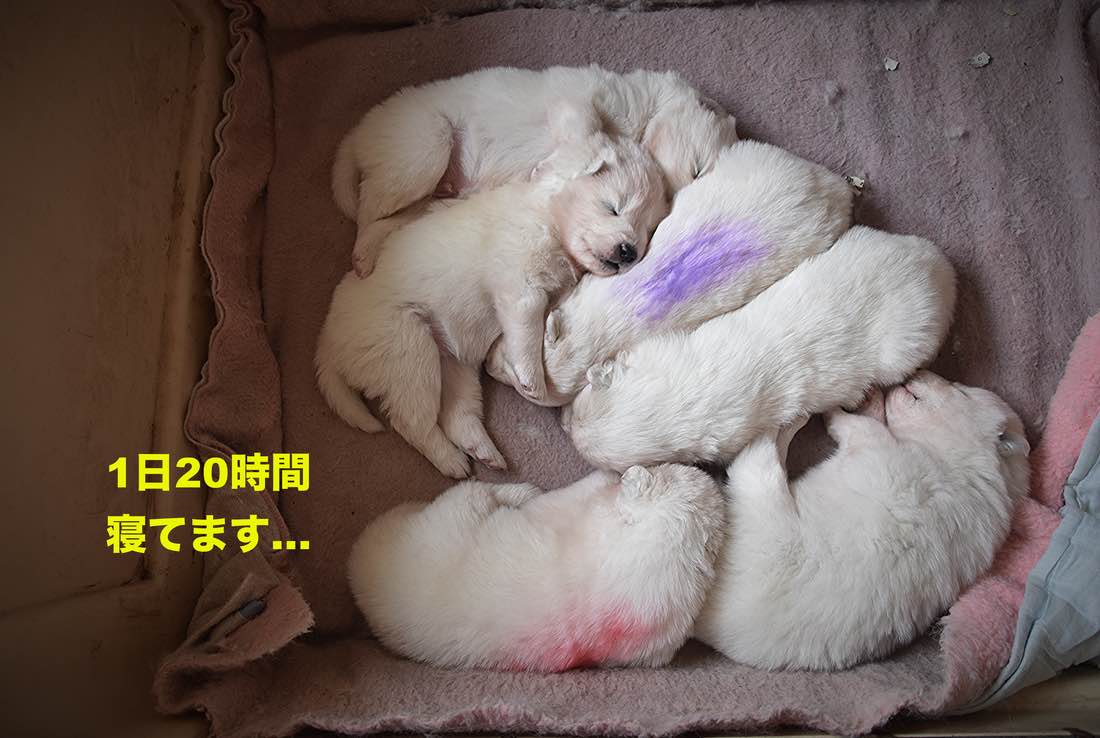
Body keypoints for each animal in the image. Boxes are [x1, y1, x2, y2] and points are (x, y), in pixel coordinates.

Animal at [316, 108, 668, 478]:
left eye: (648, 229)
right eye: (614, 207)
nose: (629, 251)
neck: (548, 217)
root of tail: (327, 341)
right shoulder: (521, 287)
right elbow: (527, 332)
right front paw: (532, 379)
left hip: (453, 363)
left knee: (457, 414)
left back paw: (483, 452)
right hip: (407, 351)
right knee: (412, 421)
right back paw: (451, 461)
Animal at [333, 65, 737, 275]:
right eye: (698, 170)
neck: (644, 115)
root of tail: (358, 133)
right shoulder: (579, 103)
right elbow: (588, 134)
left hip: (427, 189)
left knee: (388, 217)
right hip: (424, 146)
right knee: (368, 209)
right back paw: (361, 257)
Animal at [347, 464, 726, 671]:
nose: (710, 470)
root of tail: (360, 565)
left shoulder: (573, 510)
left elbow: (576, 492)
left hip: (453, 513)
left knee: (475, 491)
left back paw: (516, 491)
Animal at [694, 372, 1030, 671]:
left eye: (960, 390)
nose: (921, 370)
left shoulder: (878, 448)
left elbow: (857, 425)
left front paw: (836, 409)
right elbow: (871, 419)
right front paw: (873, 399)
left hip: (763, 502)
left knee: (758, 457)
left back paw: (789, 421)